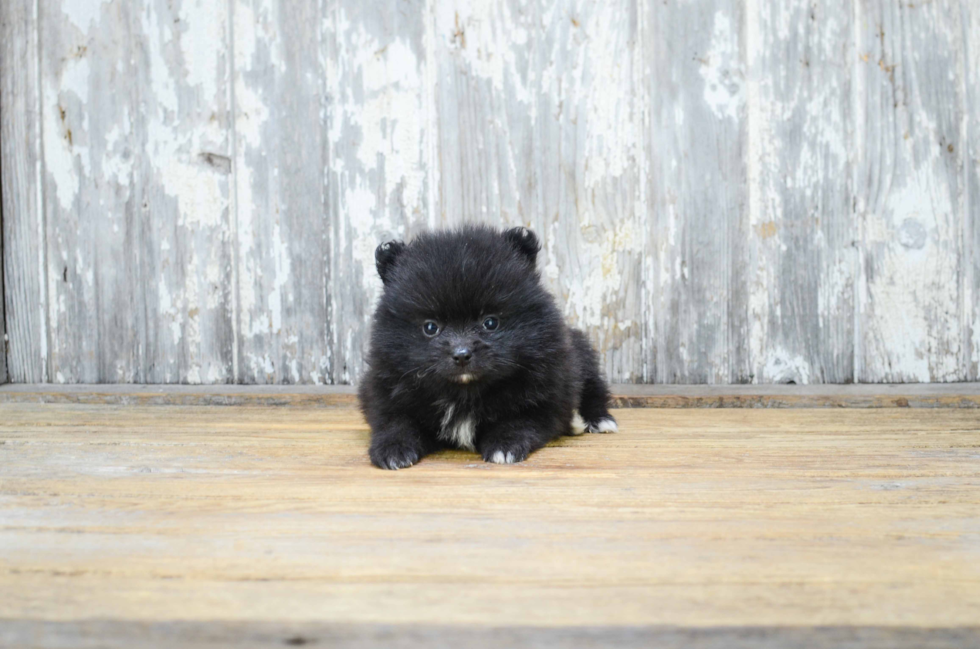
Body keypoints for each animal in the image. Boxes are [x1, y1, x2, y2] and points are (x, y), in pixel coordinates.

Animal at [356, 225, 616, 468]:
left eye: (490, 322)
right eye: (430, 327)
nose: (461, 355)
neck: (464, 393)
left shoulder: (548, 392)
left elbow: (520, 420)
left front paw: (505, 444)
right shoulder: (386, 388)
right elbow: (396, 421)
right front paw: (394, 448)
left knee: (593, 389)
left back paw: (596, 420)